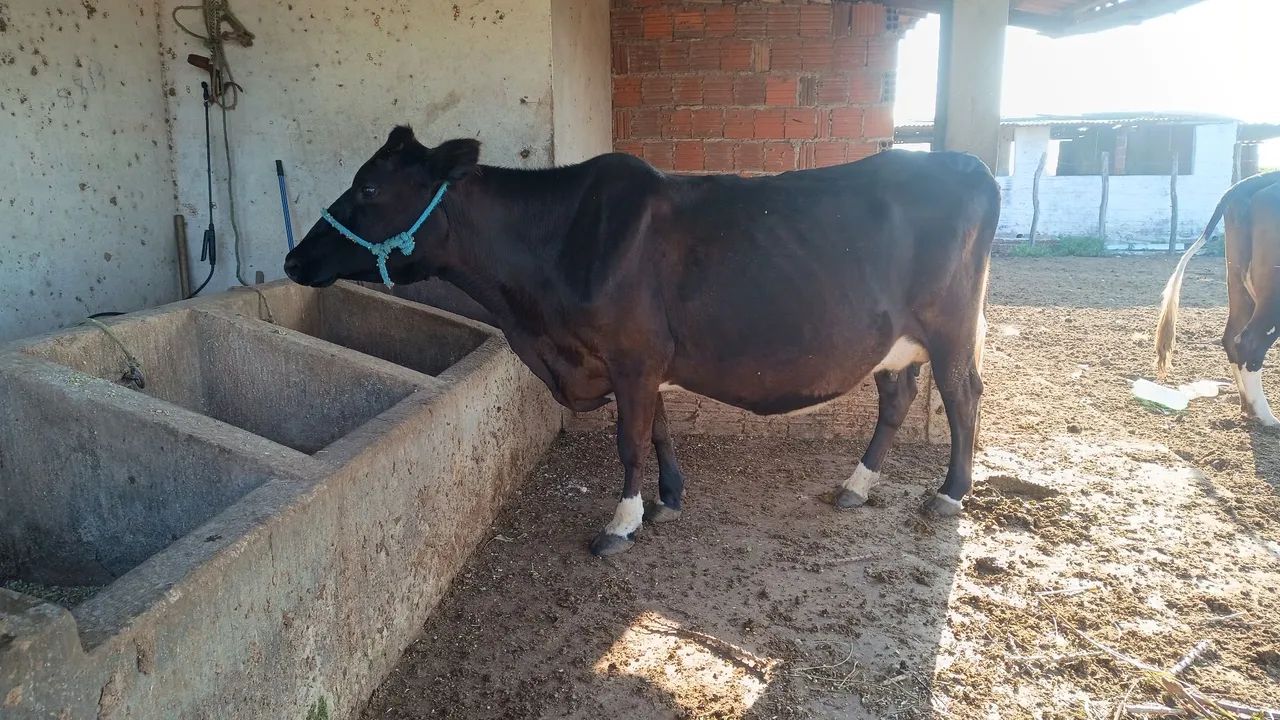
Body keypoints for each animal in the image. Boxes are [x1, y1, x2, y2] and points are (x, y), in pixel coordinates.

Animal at [284, 126, 1000, 556]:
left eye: (369, 186)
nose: (293, 260)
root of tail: (967, 163)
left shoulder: (631, 355)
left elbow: (629, 438)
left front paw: (621, 523)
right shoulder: (645, 361)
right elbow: (657, 428)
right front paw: (668, 499)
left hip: (950, 327)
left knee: (964, 395)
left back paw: (948, 493)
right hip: (894, 340)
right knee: (898, 397)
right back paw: (857, 485)